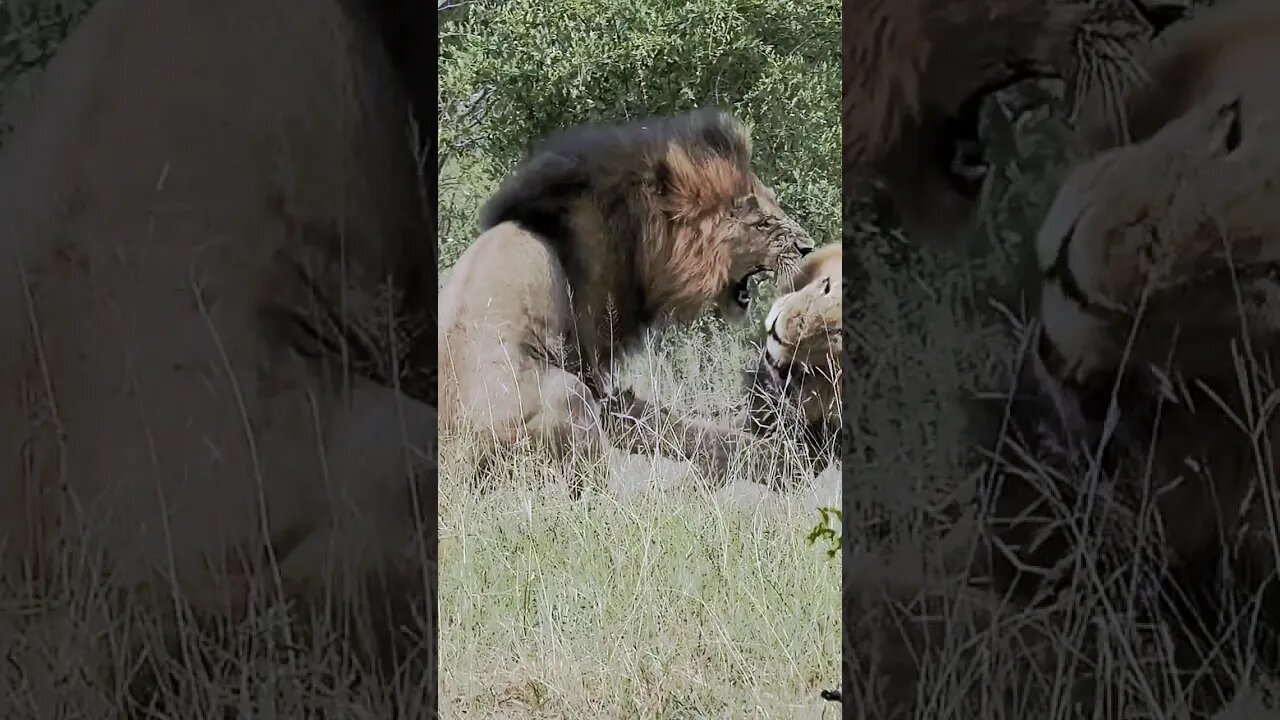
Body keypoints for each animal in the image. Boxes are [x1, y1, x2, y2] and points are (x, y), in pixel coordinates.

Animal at [437, 108, 815, 495]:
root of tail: (452, 465)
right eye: (762, 223)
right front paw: (780, 461)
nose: (808, 247)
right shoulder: (588, 357)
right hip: (566, 395)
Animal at [604, 242, 842, 485]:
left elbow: (719, 442)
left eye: (836, 335)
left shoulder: (799, 458)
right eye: (826, 285)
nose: (777, 334)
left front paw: (627, 417)